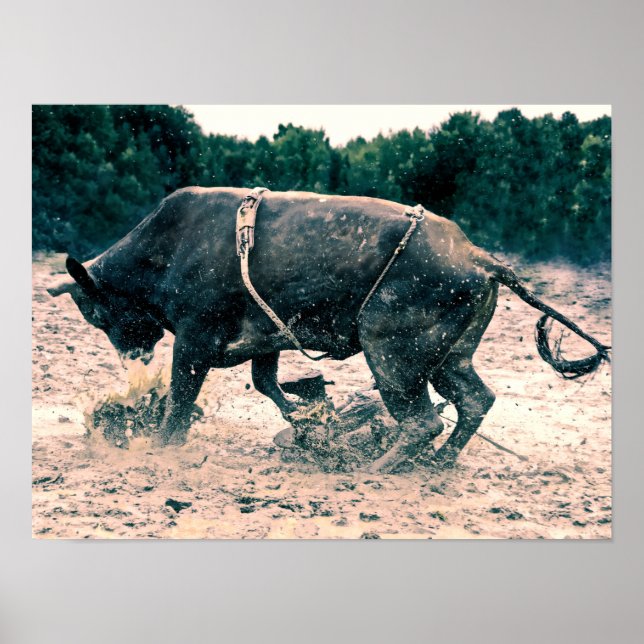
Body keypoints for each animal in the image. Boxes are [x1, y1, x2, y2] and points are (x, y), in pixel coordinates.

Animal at [47, 187, 610, 472]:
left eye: (96, 314)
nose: (133, 358)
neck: (170, 245)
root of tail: (478, 257)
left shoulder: (194, 340)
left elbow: (181, 401)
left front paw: (161, 445)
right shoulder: (266, 340)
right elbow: (267, 383)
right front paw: (308, 419)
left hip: (391, 355)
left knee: (422, 420)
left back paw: (376, 468)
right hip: (448, 358)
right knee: (474, 401)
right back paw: (438, 463)